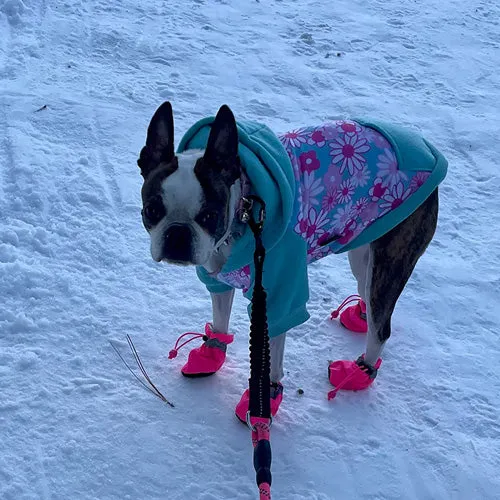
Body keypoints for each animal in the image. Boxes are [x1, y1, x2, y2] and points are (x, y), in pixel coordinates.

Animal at [138, 101, 450, 418]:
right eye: (151, 210)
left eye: (210, 216)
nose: (177, 234)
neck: (243, 214)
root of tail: (424, 146)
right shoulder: (218, 277)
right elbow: (220, 316)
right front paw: (211, 355)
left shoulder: (277, 297)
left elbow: (271, 352)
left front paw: (265, 401)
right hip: (365, 246)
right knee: (368, 290)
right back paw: (359, 316)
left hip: (394, 250)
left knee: (381, 324)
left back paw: (359, 371)